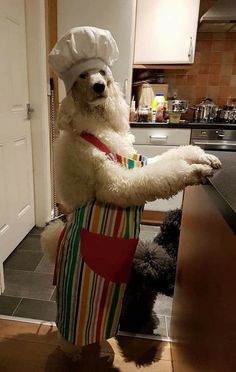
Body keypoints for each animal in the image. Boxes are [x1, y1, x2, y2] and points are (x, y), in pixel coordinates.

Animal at [41, 26, 221, 360]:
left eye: (102, 73)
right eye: (83, 75)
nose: (100, 86)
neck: (97, 125)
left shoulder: (141, 161)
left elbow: (174, 155)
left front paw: (206, 158)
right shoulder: (120, 183)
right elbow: (165, 174)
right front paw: (195, 172)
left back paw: (100, 349)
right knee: (69, 337)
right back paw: (74, 353)